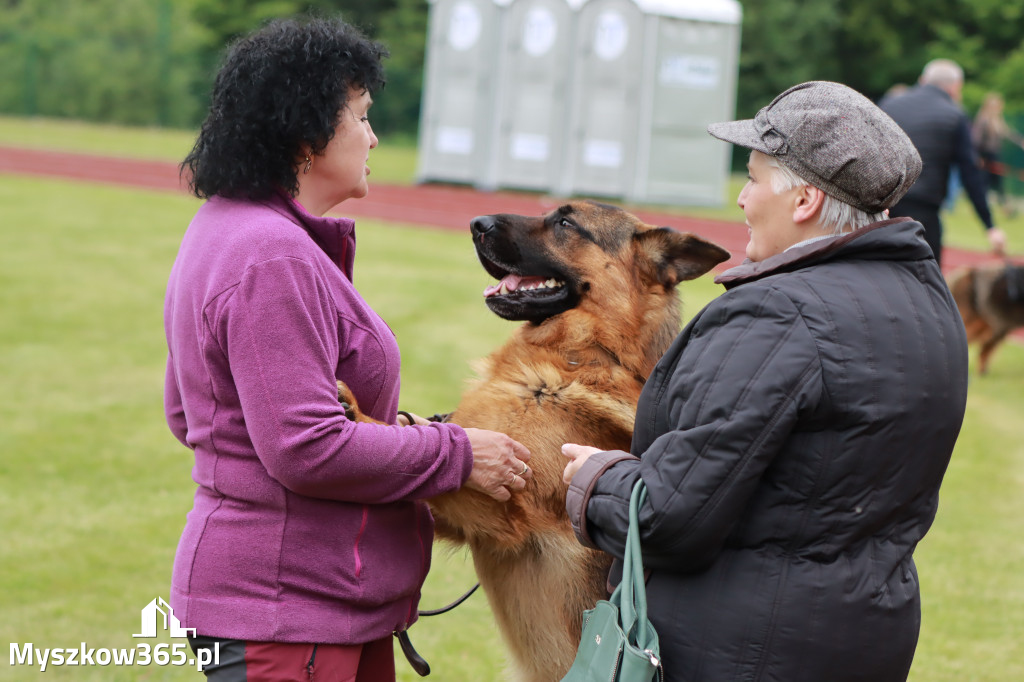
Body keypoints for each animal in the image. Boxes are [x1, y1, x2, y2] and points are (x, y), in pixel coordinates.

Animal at [337, 201, 729, 679]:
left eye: (565, 222)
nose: (477, 224)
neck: (583, 355)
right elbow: (426, 446)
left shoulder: (506, 510)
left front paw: (359, 414)